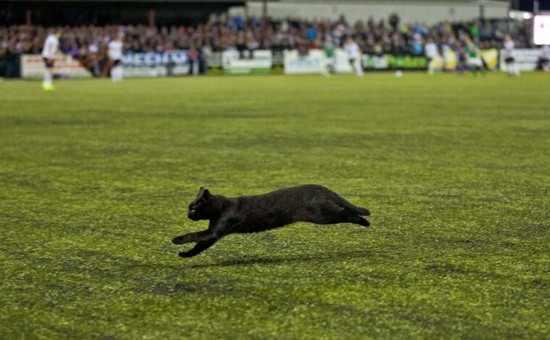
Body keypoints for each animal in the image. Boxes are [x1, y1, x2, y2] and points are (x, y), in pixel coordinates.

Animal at [172, 185, 370, 256]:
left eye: (193, 208)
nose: (188, 214)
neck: (221, 207)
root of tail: (321, 188)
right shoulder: (212, 234)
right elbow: (198, 246)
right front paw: (185, 255)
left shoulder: (214, 231)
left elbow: (194, 235)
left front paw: (176, 240)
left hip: (323, 215)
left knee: (346, 212)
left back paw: (365, 221)